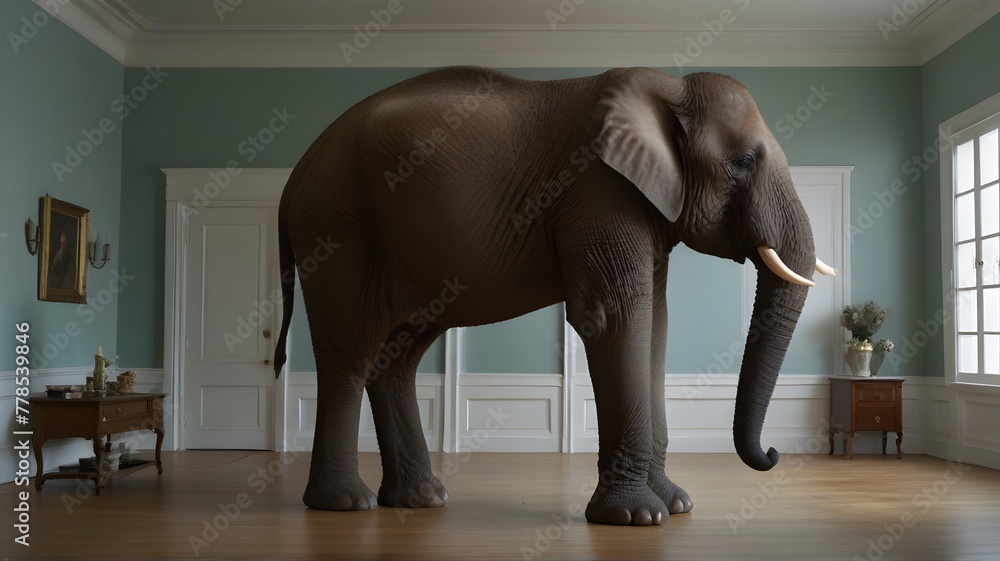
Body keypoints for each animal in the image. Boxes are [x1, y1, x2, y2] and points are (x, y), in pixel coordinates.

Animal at [273, 66, 834, 526]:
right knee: (350, 353)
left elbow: (656, 325)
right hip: (336, 230)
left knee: (398, 356)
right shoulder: (597, 191)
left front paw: (675, 506)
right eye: (742, 160)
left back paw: (422, 499)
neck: (667, 86)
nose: (774, 454)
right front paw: (636, 517)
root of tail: (292, 180)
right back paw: (345, 504)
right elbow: (615, 320)